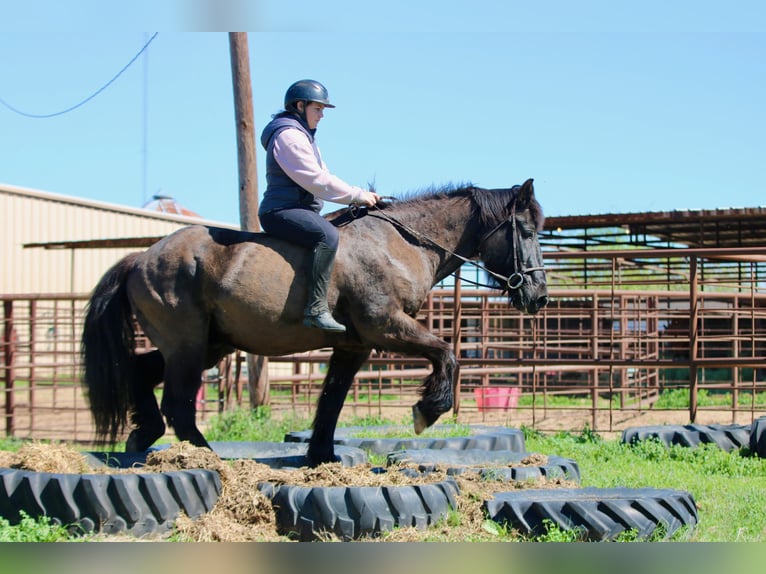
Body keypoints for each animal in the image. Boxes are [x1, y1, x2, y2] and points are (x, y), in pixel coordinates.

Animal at [81, 178, 548, 466]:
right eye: (526, 231)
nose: (539, 295)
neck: (399, 243)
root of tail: (140, 258)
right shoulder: (386, 326)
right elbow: (447, 355)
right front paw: (426, 410)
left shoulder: (354, 345)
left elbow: (332, 400)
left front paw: (322, 456)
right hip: (189, 347)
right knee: (178, 404)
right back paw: (204, 454)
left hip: (208, 345)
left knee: (141, 371)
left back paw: (142, 436)